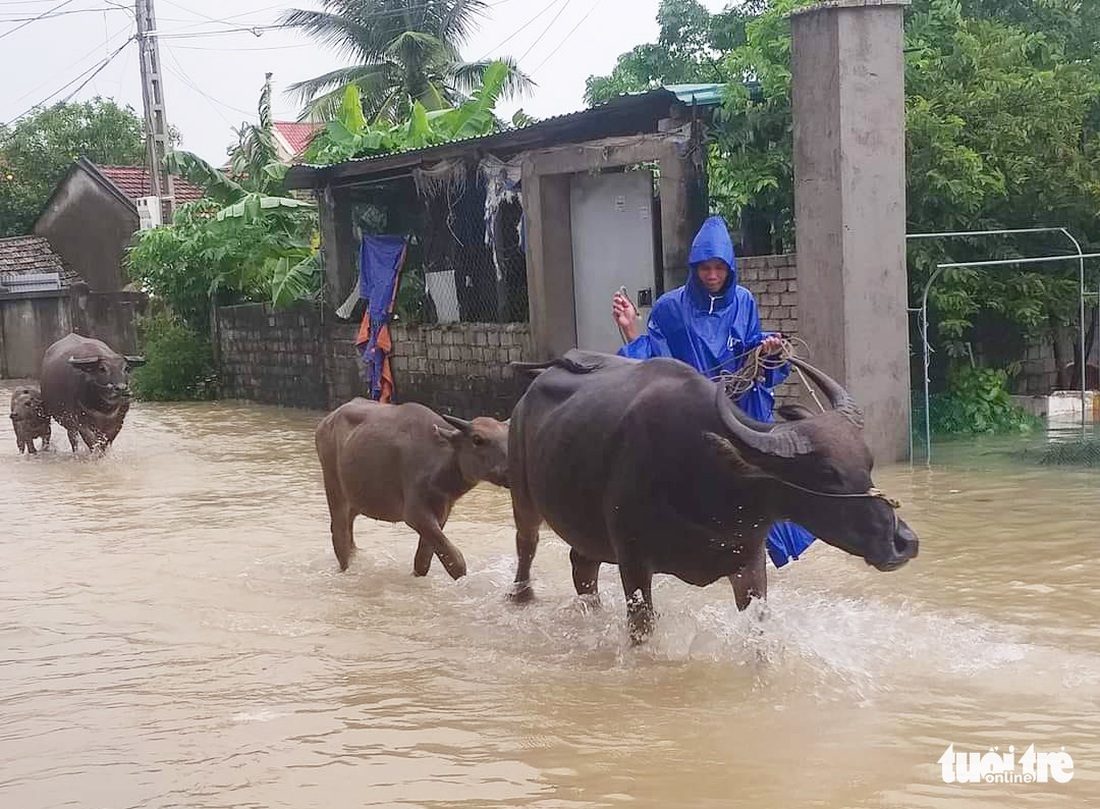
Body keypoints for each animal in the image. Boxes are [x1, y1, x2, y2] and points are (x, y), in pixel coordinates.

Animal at [314, 400, 510, 581]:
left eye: (508, 438)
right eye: (477, 439)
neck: (440, 464)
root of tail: (326, 422)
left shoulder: (441, 515)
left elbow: (423, 560)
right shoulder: (415, 514)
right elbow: (456, 561)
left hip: (357, 498)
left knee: (349, 529)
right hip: (334, 488)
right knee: (340, 535)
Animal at [508, 352, 919, 642]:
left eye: (867, 463)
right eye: (828, 474)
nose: (903, 542)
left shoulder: (749, 562)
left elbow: (758, 630)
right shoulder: (633, 562)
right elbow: (642, 630)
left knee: (582, 566)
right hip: (524, 499)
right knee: (527, 546)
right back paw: (520, 596)